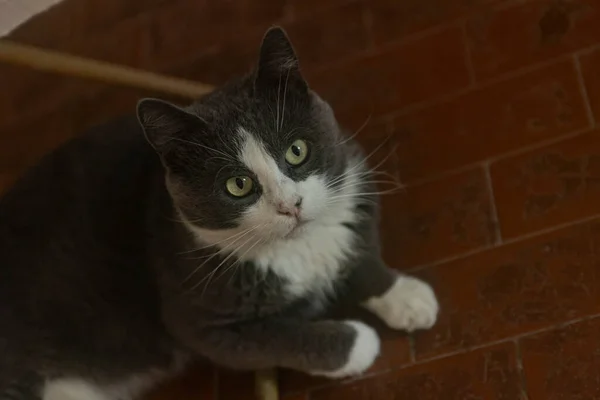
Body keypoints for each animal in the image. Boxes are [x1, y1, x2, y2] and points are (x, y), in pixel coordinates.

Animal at [0, 26, 440, 398]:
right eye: (238, 185)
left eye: (297, 150)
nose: (290, 205)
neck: (295, 249)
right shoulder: (201, 321)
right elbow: (280, 337)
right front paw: (358, 343)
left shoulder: (351, 197)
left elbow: (360, 254)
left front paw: (405, 296)